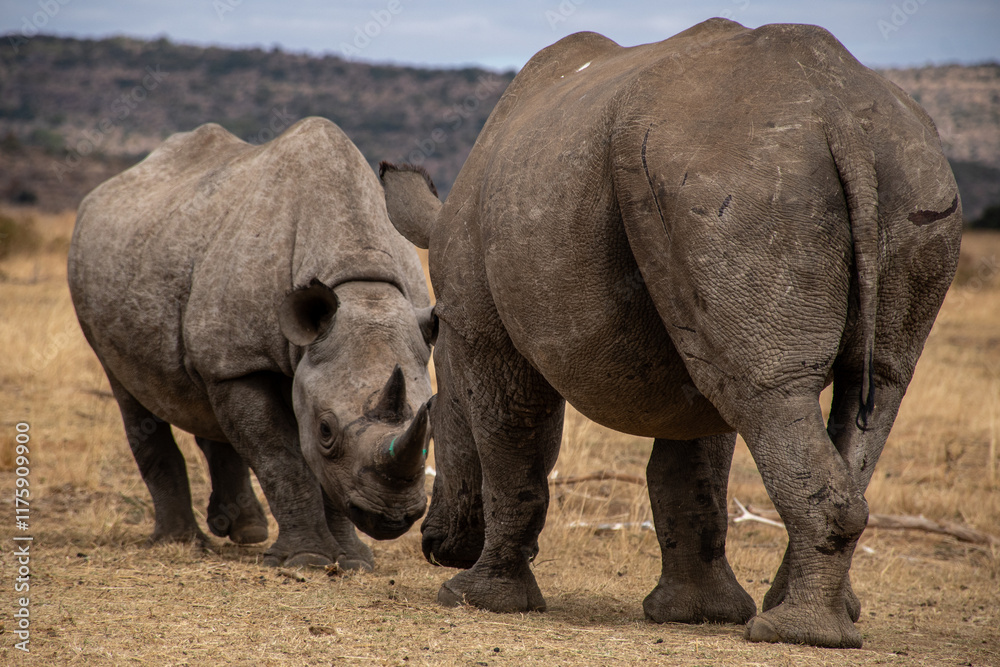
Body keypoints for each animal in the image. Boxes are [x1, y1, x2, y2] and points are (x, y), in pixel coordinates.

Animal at [69, 117, 434, 570]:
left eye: (430, 425)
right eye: (327, 430)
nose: (391, 518)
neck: (361, 286)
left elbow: (314, 466)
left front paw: (352, 562)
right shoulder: (240, 364)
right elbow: (281, 456)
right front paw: (307, 561)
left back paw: (246, 532)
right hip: (97, 277)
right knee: (129, 390)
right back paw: (181, 542)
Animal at [379, 20, 962, 648]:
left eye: (435, 420)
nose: (435, 546)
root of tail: (838, 116)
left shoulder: (479, 328)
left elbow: (513, 443)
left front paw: (475, 599)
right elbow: (689, 469)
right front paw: (694, 614)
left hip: (738, 178)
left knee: (772, 393)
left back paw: (791, 632)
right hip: (901, 172)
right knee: (870, 385)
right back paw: (818, 619)